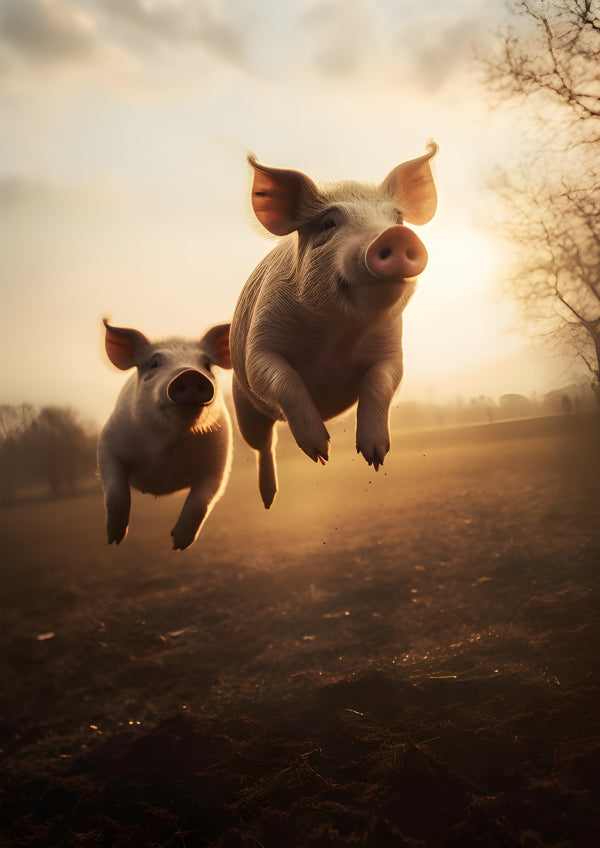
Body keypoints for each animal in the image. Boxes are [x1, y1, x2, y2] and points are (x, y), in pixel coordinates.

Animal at [97, 319, 232, 550]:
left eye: (207, 365)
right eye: (154, 364)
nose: (190, 373)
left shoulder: (219, 461)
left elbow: (200, 502)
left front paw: (178, 545)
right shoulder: (108, 442)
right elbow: (116, 492)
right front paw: (114, 540)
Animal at [230, 144, 438, 508]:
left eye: (397, 219)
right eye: (328, 223)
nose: (396, 234)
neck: (338, 333)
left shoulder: (392, 352)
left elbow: (382, 382)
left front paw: (375, 458)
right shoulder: (260, 344)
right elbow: (278, 375)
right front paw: (320, 452)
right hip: (242, 403)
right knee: (263, 445)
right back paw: (269, 500)